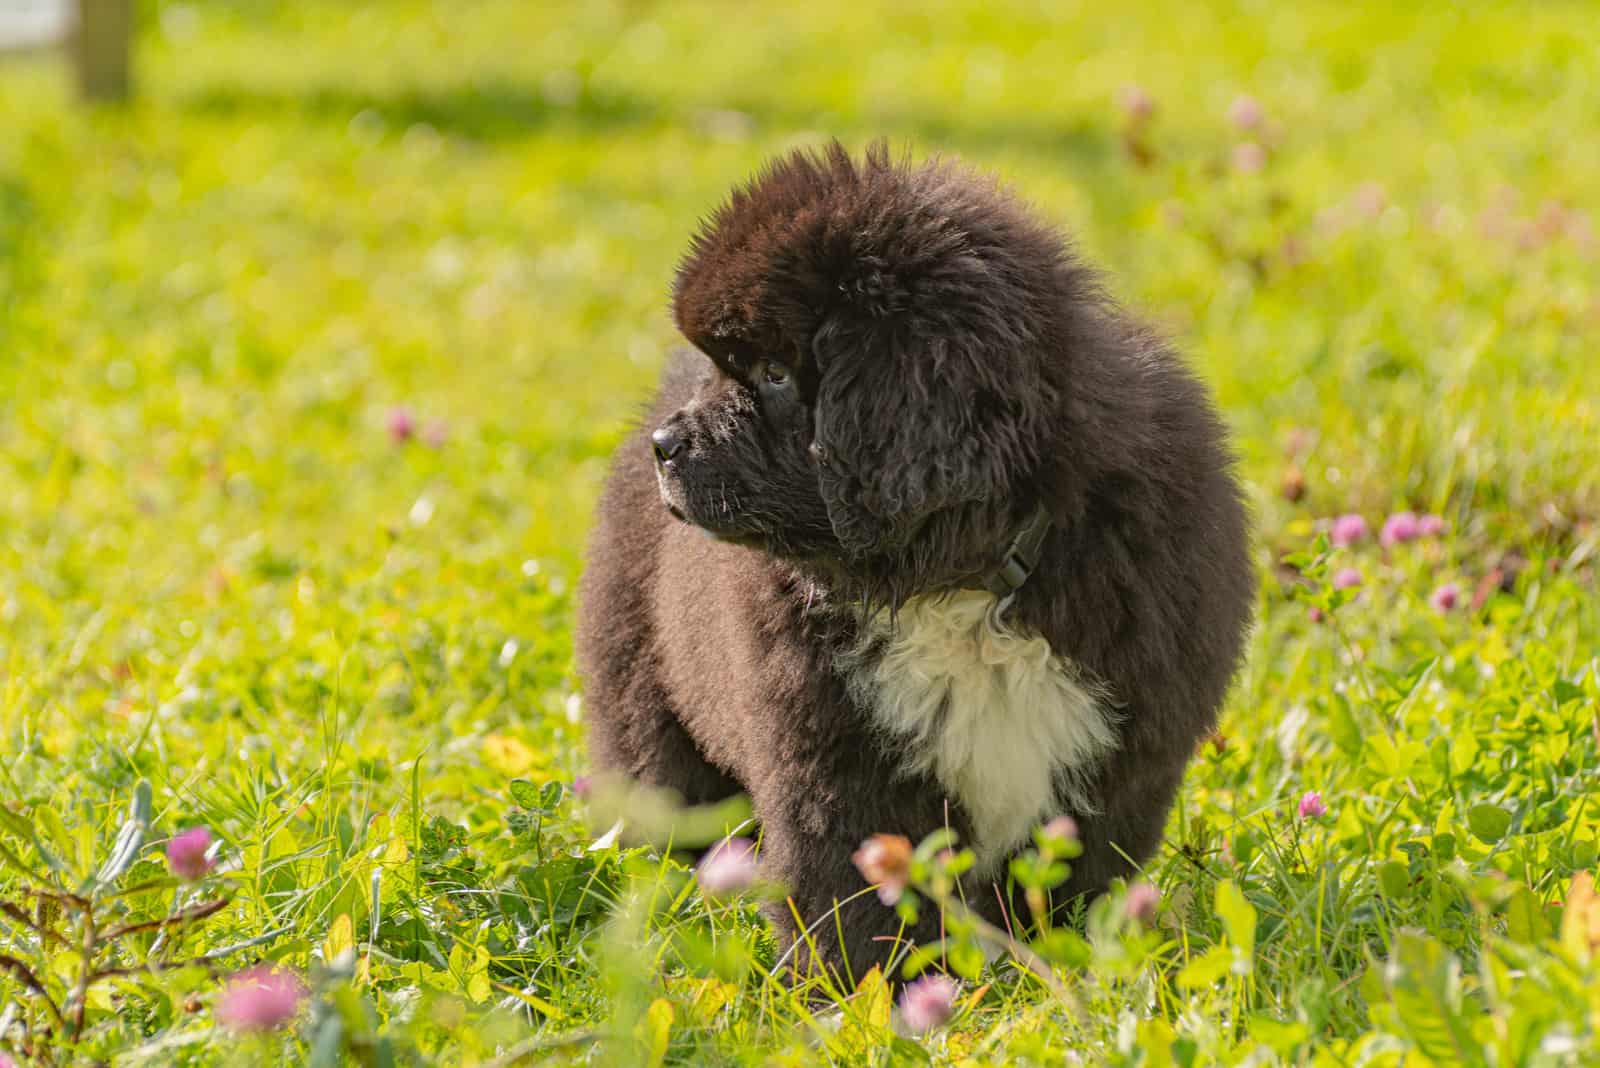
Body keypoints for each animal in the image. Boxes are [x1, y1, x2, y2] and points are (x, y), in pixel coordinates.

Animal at [576, 143, 1248, 984]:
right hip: (648, 704)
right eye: (726, 368)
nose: (665, 446)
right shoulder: (834, 760)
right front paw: (871, 997)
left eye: (773, 373)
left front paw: (1050, 972)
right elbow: (856, 900)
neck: (962, 583)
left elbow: (1070, 882)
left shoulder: (1121, 755)